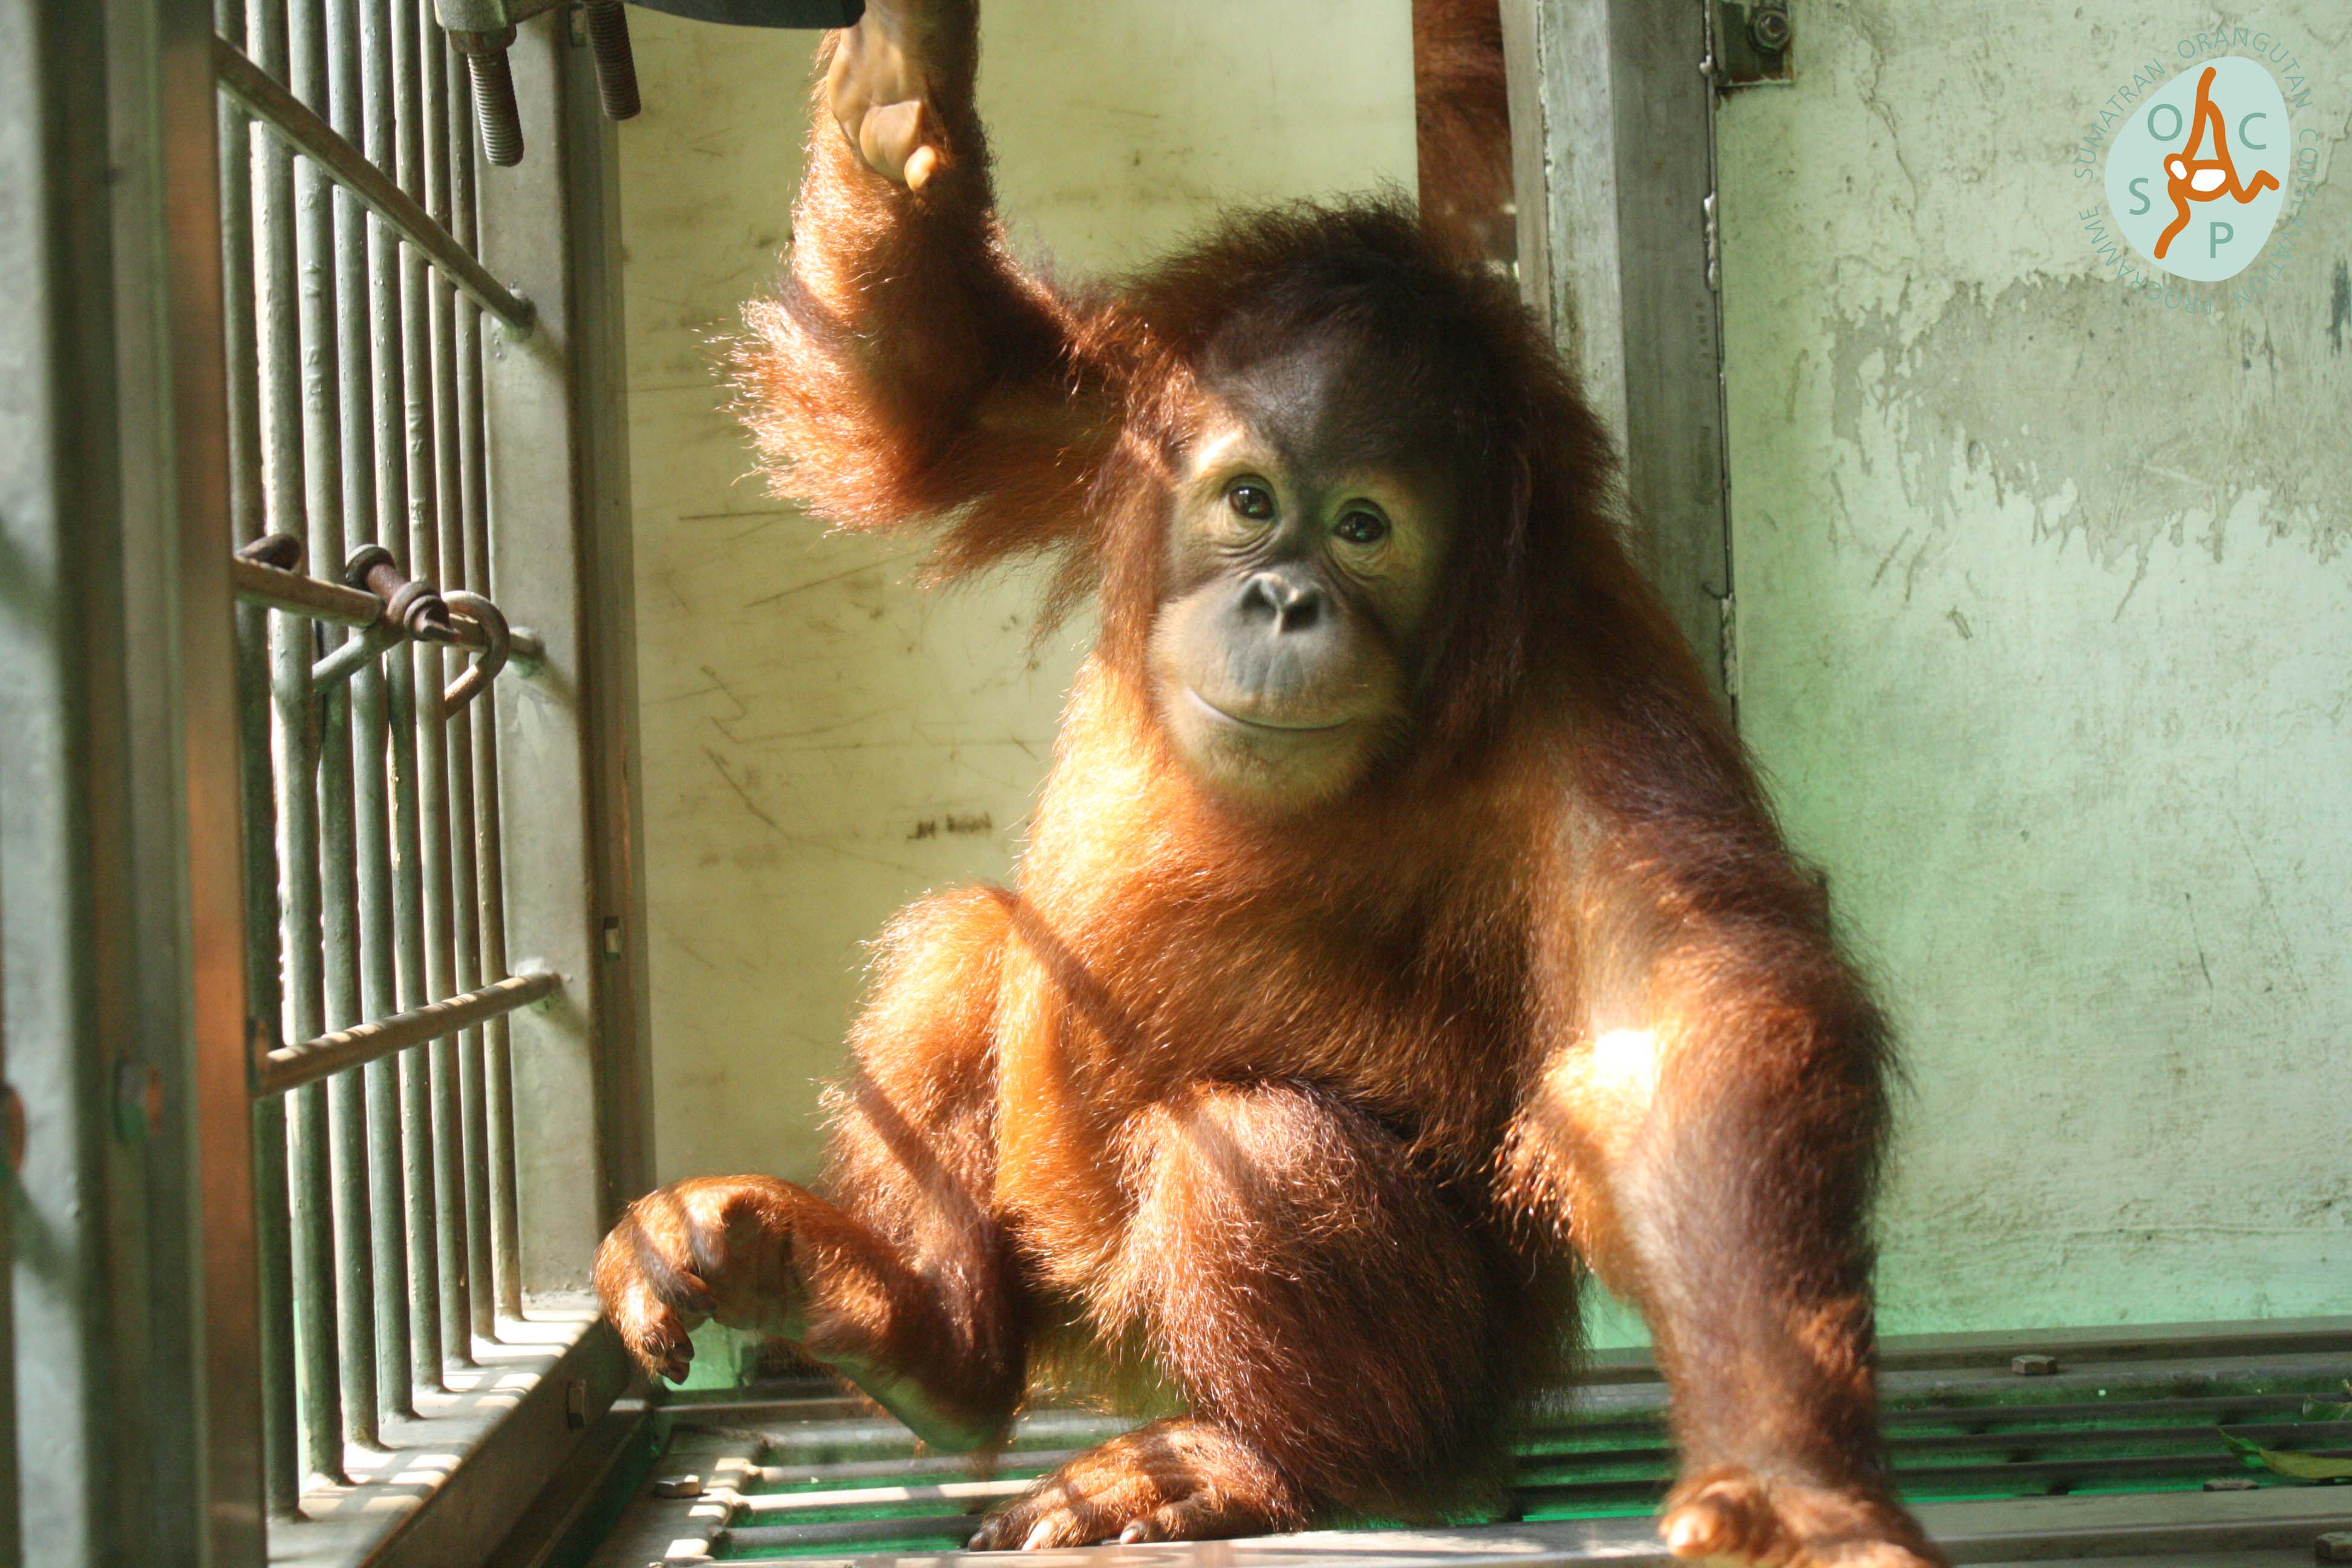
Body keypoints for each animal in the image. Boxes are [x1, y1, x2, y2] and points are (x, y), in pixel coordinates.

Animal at [595, 3, 1940, 1562]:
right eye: (1247, 500)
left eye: (1362, 527)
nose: (1283, 600)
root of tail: (1121, 1352)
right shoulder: (1120, 419)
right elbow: (932, 398)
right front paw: (898, 93)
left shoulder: (1593, 706)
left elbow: (1670, 1032)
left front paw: (1794, 1490)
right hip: (1060, 1280)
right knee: (970, 945)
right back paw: (909, 1333)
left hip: (1417, 1369)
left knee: (1262, 1144)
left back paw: (1262, 1466)